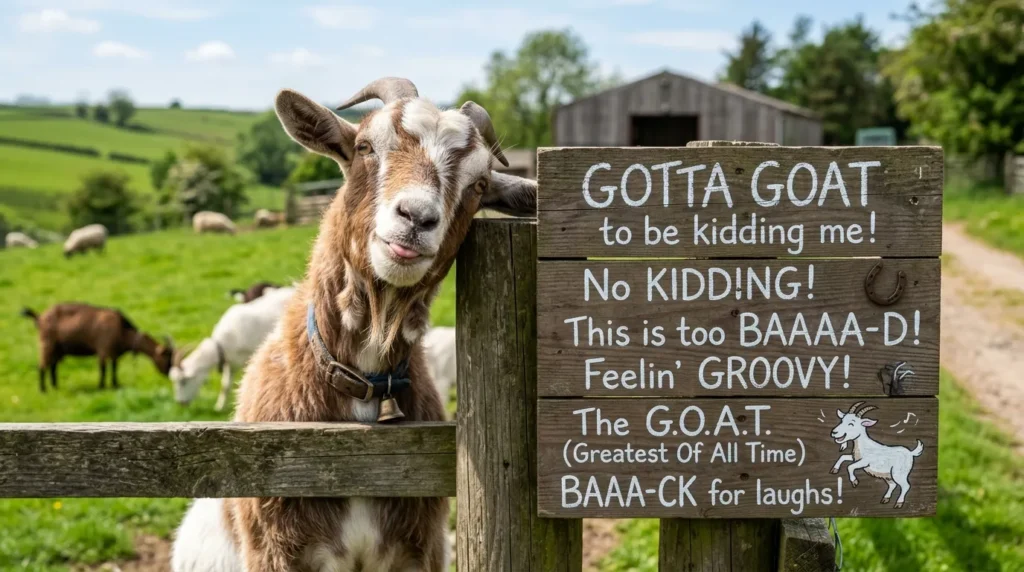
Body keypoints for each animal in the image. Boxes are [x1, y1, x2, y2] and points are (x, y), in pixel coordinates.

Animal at [21, 303, 174, 392]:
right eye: (167, 358)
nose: (170, 375)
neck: (122, 330)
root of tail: (39, 317)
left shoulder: (114, 353)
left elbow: (114, 368)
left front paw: (115, 384)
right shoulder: (103, 349)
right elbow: (103, 369)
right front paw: (101, 386)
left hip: (57, 348)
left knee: (53, 366)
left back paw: (55, 386)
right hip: (46, 343)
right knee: (42, 366)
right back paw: (43, 390)